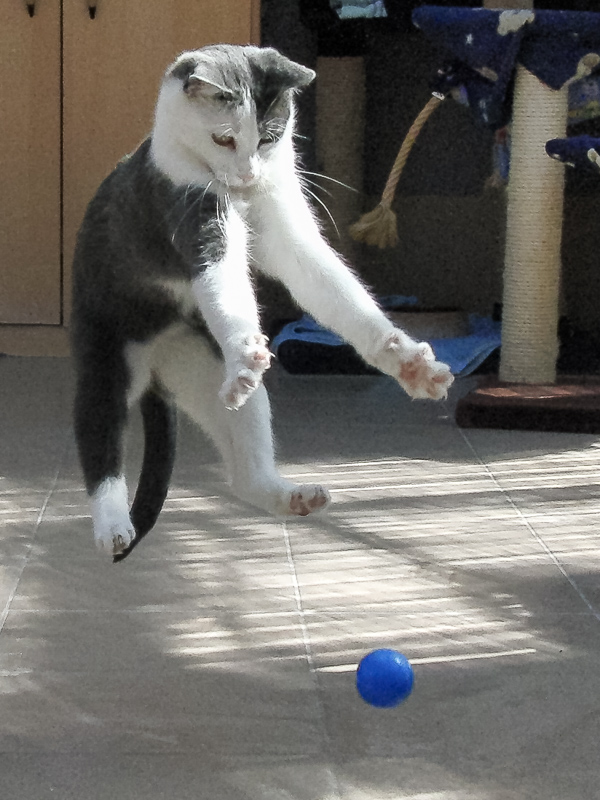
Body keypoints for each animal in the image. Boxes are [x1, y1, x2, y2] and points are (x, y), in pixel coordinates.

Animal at [70, 43, 452, 564]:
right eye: (223, 138)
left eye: (269, 137)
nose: (249, 172)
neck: (241, 197)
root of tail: (154, 371)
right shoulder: (192, 210)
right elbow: (225, 286)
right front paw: (245, 350)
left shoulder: (287, 222)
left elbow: (333, 287)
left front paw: (408, 361)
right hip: (105, 351)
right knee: (99, 433)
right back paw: (112, 526)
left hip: (201, 365)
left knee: (244, 467)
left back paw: (290, 495)